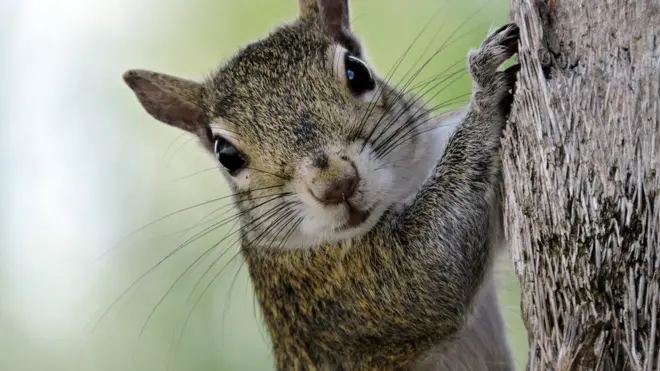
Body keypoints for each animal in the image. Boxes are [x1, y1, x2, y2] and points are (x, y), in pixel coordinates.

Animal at [121, 1, 520, 370]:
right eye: (226, 154)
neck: (405, 187)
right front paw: (485, 90)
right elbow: (430, 272)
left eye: (357, 73)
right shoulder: (334, 294)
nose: (336, 185)